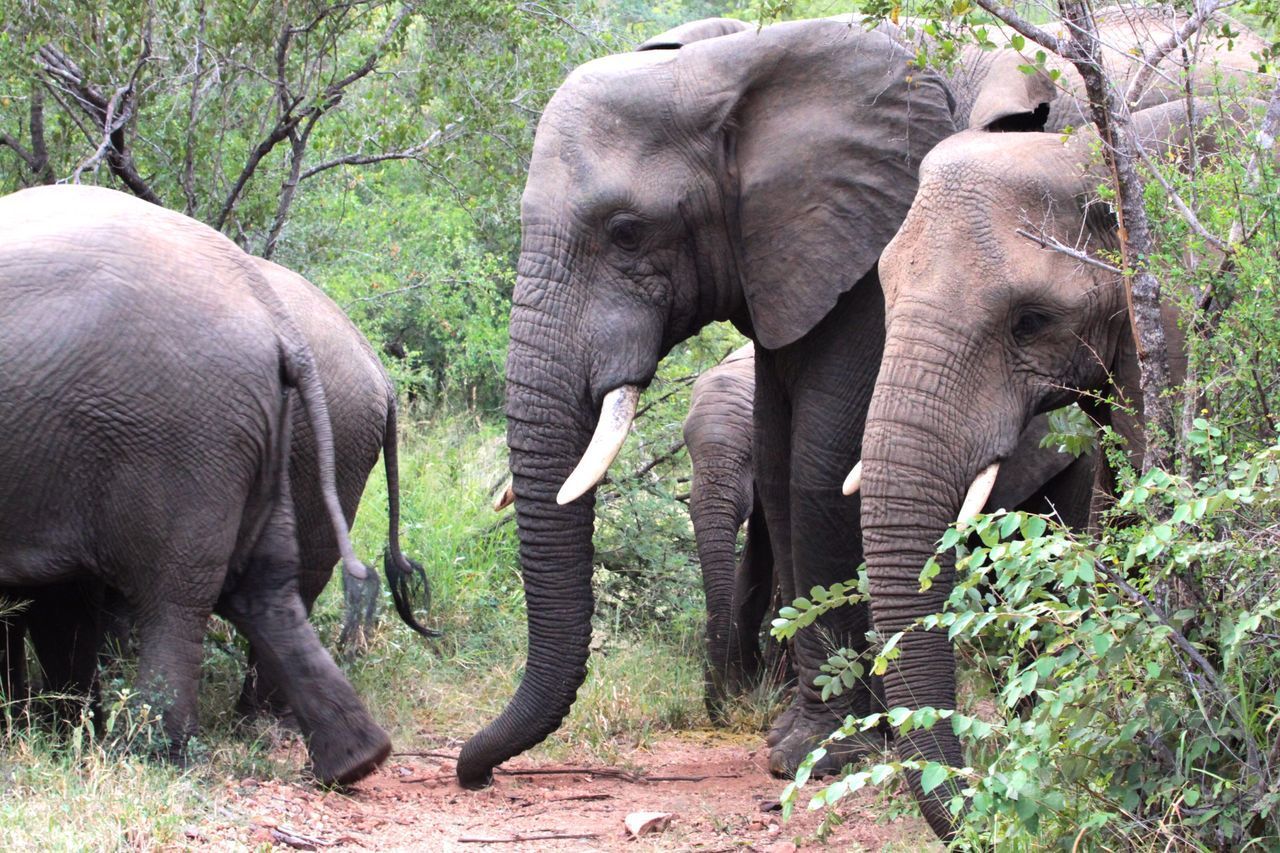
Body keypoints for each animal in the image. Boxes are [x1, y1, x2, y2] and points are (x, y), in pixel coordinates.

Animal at [0, 185, 389, 783]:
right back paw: (353, 760)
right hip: (251, 435)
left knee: (177, 594)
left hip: (180, 435)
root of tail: (274, 320)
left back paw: (149, 753)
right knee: (265, 586)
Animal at [453, 14, 962, 783]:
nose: (473, 771)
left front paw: (816, 754)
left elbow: (817, 468)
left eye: (627, 232)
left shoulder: (875, 251)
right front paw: (798, 737)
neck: (737, 62)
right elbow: (779, 474)